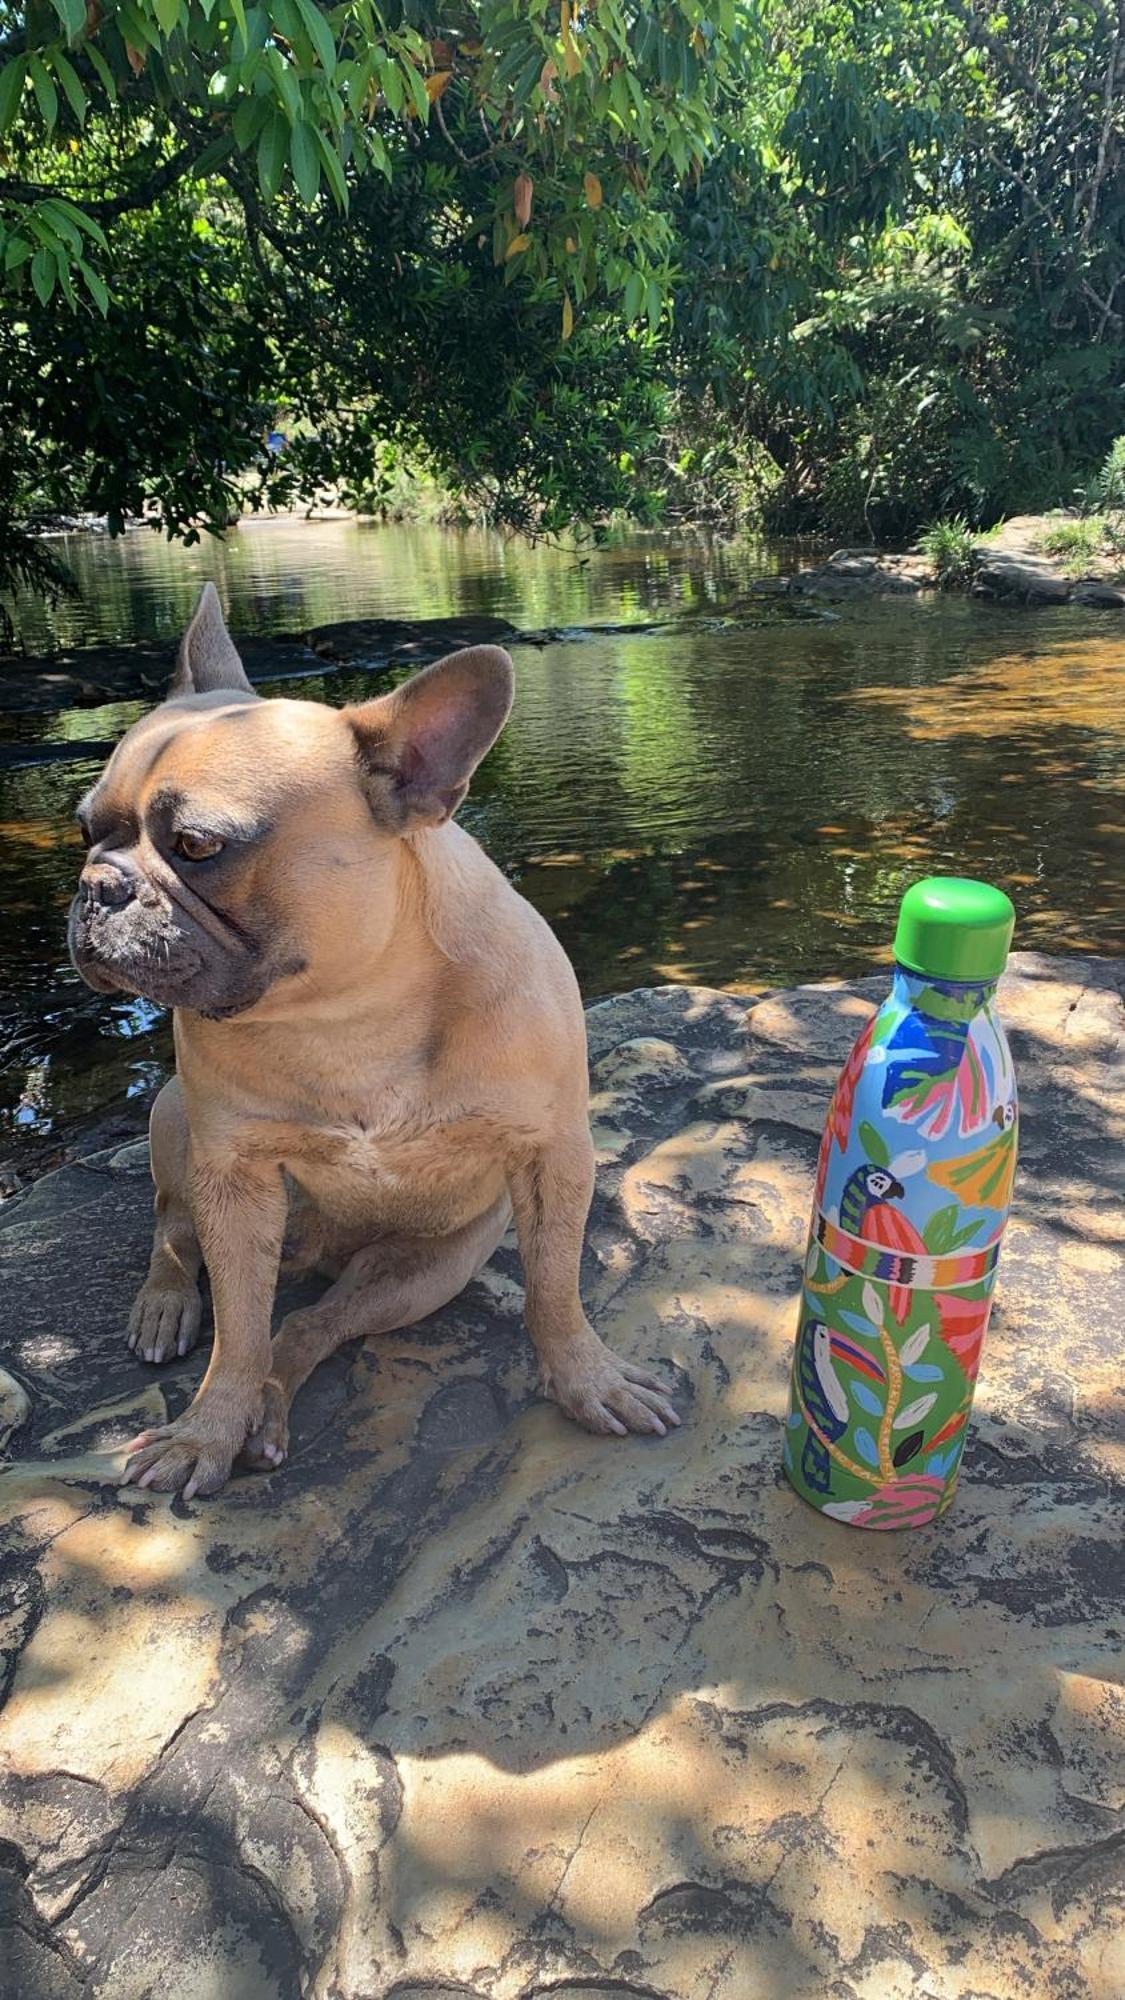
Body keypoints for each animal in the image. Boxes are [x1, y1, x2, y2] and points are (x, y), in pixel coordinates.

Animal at [72, 584, 684, 1496]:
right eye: (85, 831)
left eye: (198, 846)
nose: (96, 885)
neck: (347, 1011)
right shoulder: (234, 1180)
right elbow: (236, 1338)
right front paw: (204, 1431)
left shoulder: (553, 1158)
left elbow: (554, 1289)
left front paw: (587, 1380)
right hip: (175, 1123)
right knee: (176, 1231)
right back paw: (170, 1307)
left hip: (420, 1272)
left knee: (311, 1328)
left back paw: (270, 1411)